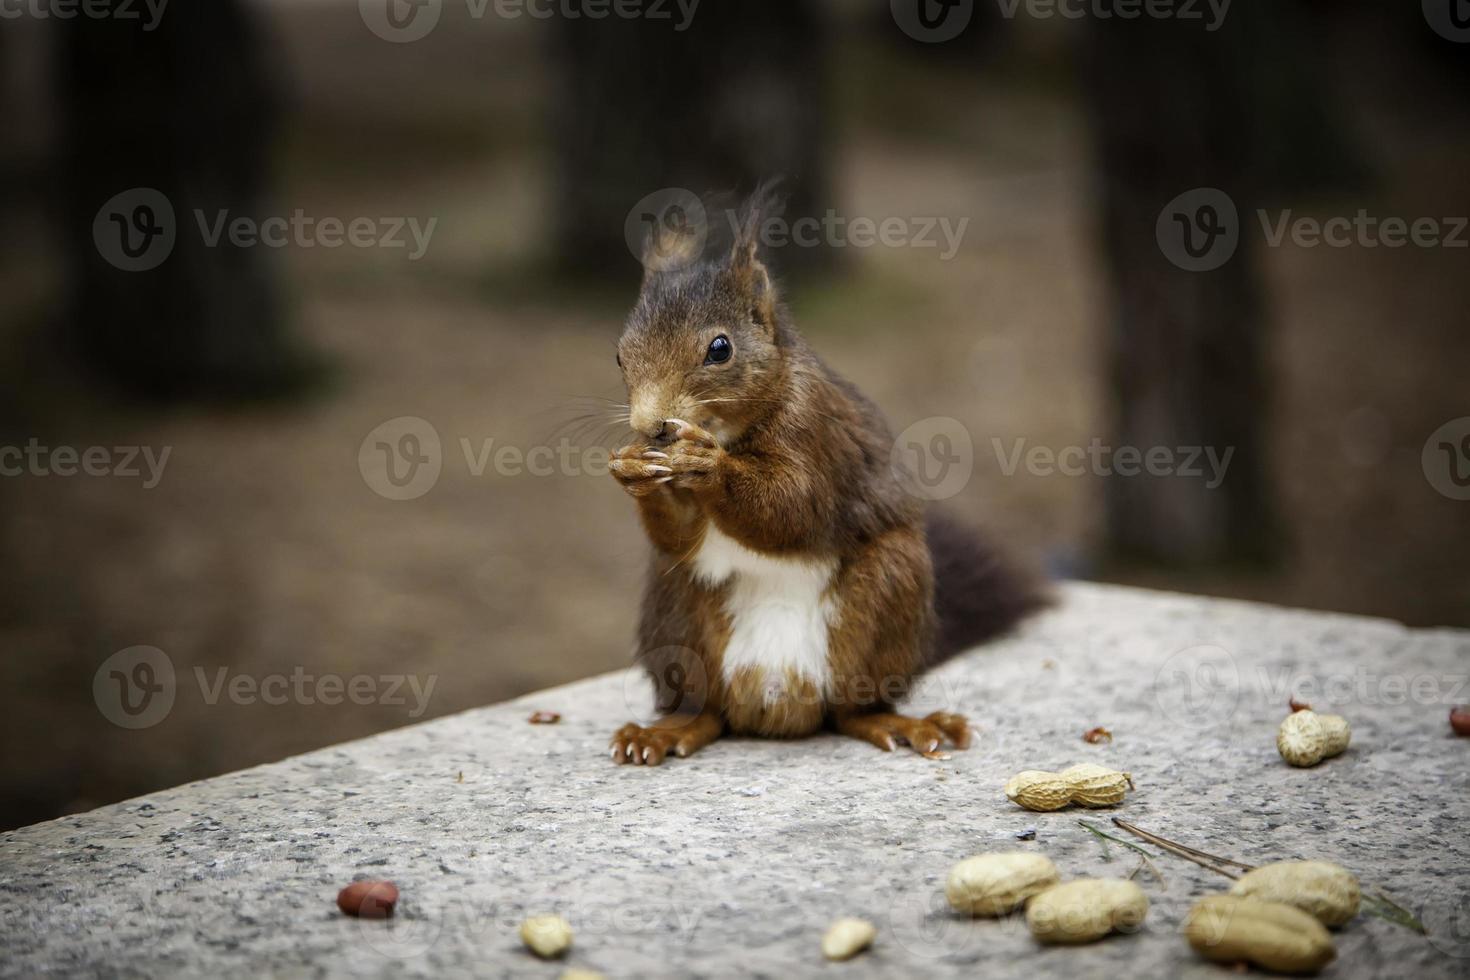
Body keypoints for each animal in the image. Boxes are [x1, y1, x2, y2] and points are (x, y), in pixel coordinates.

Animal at [605, 185, 1046, 764]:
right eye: (619, 355)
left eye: (720, 348)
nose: (650, 426)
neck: (732, 428)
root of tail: (774, 704)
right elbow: (679, 536)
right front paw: (631, 470)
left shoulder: (817, 434)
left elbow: (793, 509)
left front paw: (709, 465)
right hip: (674, 612)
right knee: (707, 710)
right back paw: (666, 731)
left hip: (889, 594)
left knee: (850, 710)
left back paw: (897, 722)